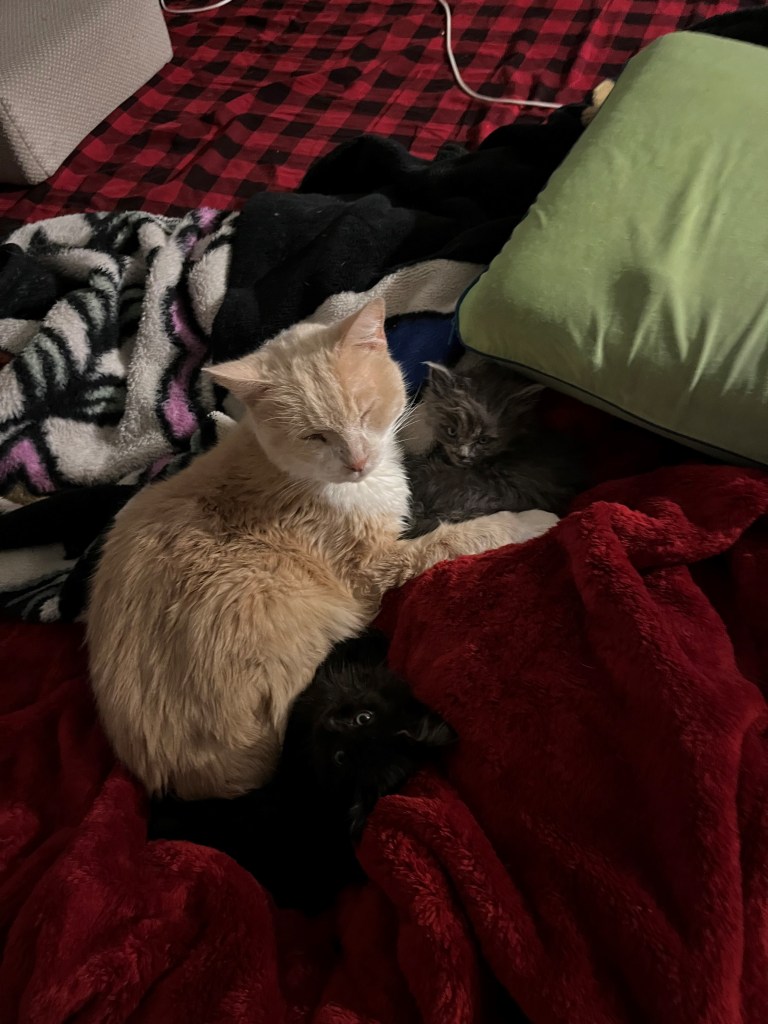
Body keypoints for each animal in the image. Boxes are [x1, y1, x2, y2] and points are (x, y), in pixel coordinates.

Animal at [87, 298, 558, 800]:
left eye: (367, 412)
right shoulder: (374, 566)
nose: (358, 461)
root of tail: (179, 781)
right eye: (315, 437)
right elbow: (457, 536)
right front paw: (533, 520)